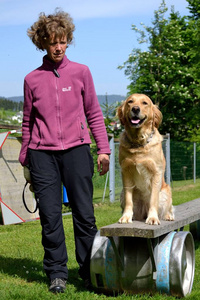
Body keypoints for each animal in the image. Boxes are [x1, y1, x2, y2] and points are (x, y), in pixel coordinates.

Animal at [117, 94, 173, 225]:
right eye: (130, 102)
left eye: (145, 103)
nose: (135, 109)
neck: (138, 142)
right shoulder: (126, 171)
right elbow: (128, 199)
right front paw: (126, 217)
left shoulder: (156, 172)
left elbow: (153, 199)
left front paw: (152, 218)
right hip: (122, 194)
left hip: (166, 191)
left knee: (168, 208)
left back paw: (168, 216)